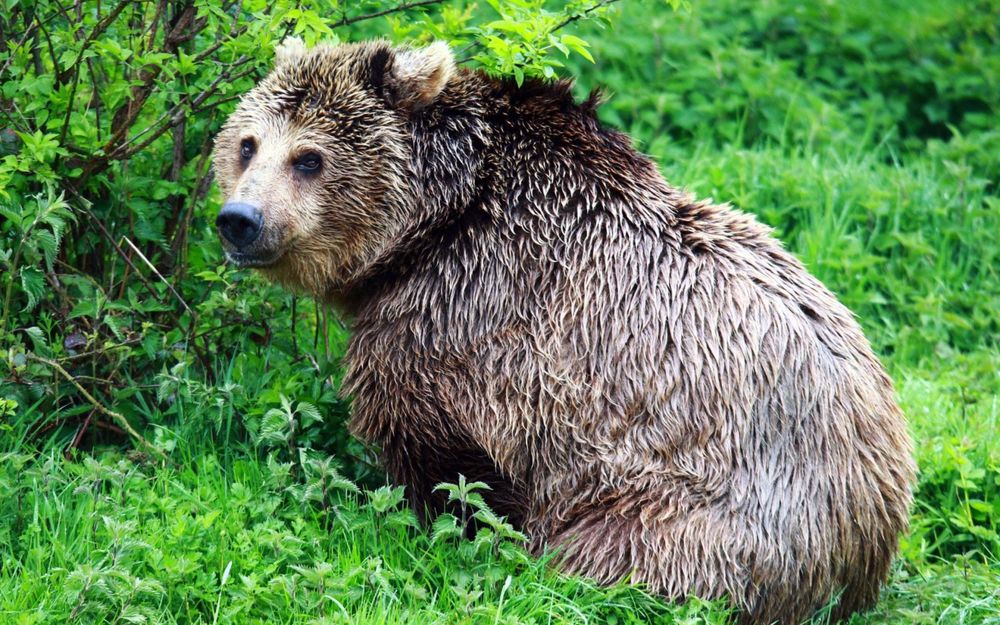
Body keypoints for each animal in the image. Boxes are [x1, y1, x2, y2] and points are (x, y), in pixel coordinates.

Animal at [212, 39, 915, 625]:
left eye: (309, 158)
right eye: (248, 144)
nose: (239, 219)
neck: (433, 221)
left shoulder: (463, 316)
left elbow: (444, 459)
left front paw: (442, 532)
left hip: (697, 513)